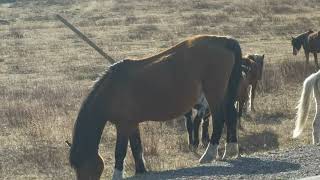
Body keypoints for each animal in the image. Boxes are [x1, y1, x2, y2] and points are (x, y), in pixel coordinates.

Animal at [68, 34, 242, 179]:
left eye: (81, 164)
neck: (112, 89)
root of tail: (224, 41)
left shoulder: (123, 125)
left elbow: (120, 152)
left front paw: (117, 175)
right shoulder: (132, 124)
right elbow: (137, 148)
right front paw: (141, 170)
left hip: (214, 94)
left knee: (219, 119)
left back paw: (208, 155)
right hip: (226, 93)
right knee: (231, 116)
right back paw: (231, 149)